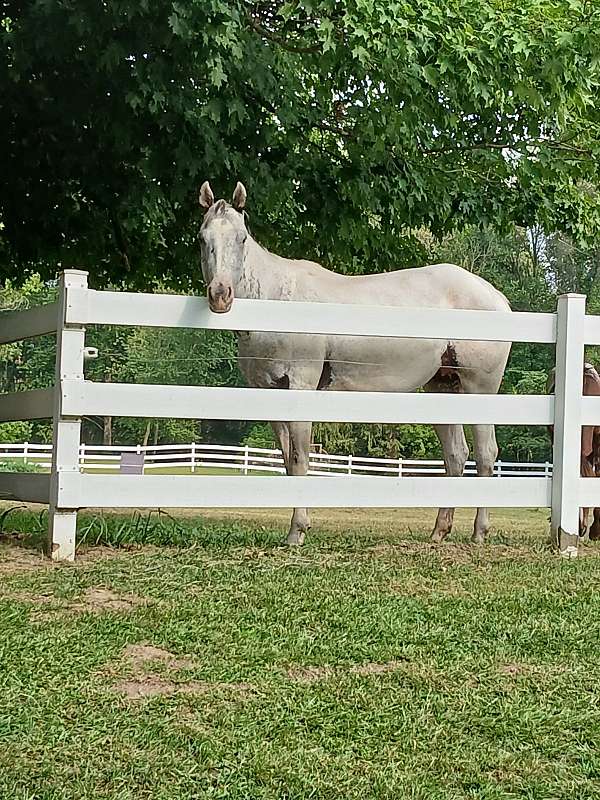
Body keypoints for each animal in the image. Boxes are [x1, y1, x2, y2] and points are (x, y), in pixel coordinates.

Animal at [198, 180, 510, 544]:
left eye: (242, 238)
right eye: (203, 238)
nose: (220, 295)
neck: (280, 298)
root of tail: (496, 297)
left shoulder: (301, 385)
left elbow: (300, 459)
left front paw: (297, 532)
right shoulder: (270, 392)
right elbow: (288, 460)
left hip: (479, 388)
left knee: (486, 454)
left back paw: (479, 533)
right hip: (443, 388)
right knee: (456, 456)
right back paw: (439, 531)